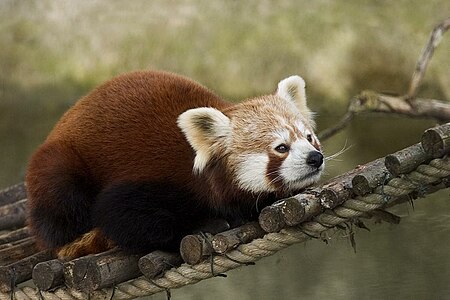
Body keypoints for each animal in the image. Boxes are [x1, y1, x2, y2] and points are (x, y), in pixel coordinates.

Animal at [25, 70, 324, 258]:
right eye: (281, 148)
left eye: (309, 137)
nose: (315, 158)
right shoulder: (155, 173)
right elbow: (118, 214)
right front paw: (203, 224)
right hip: (59, 166)